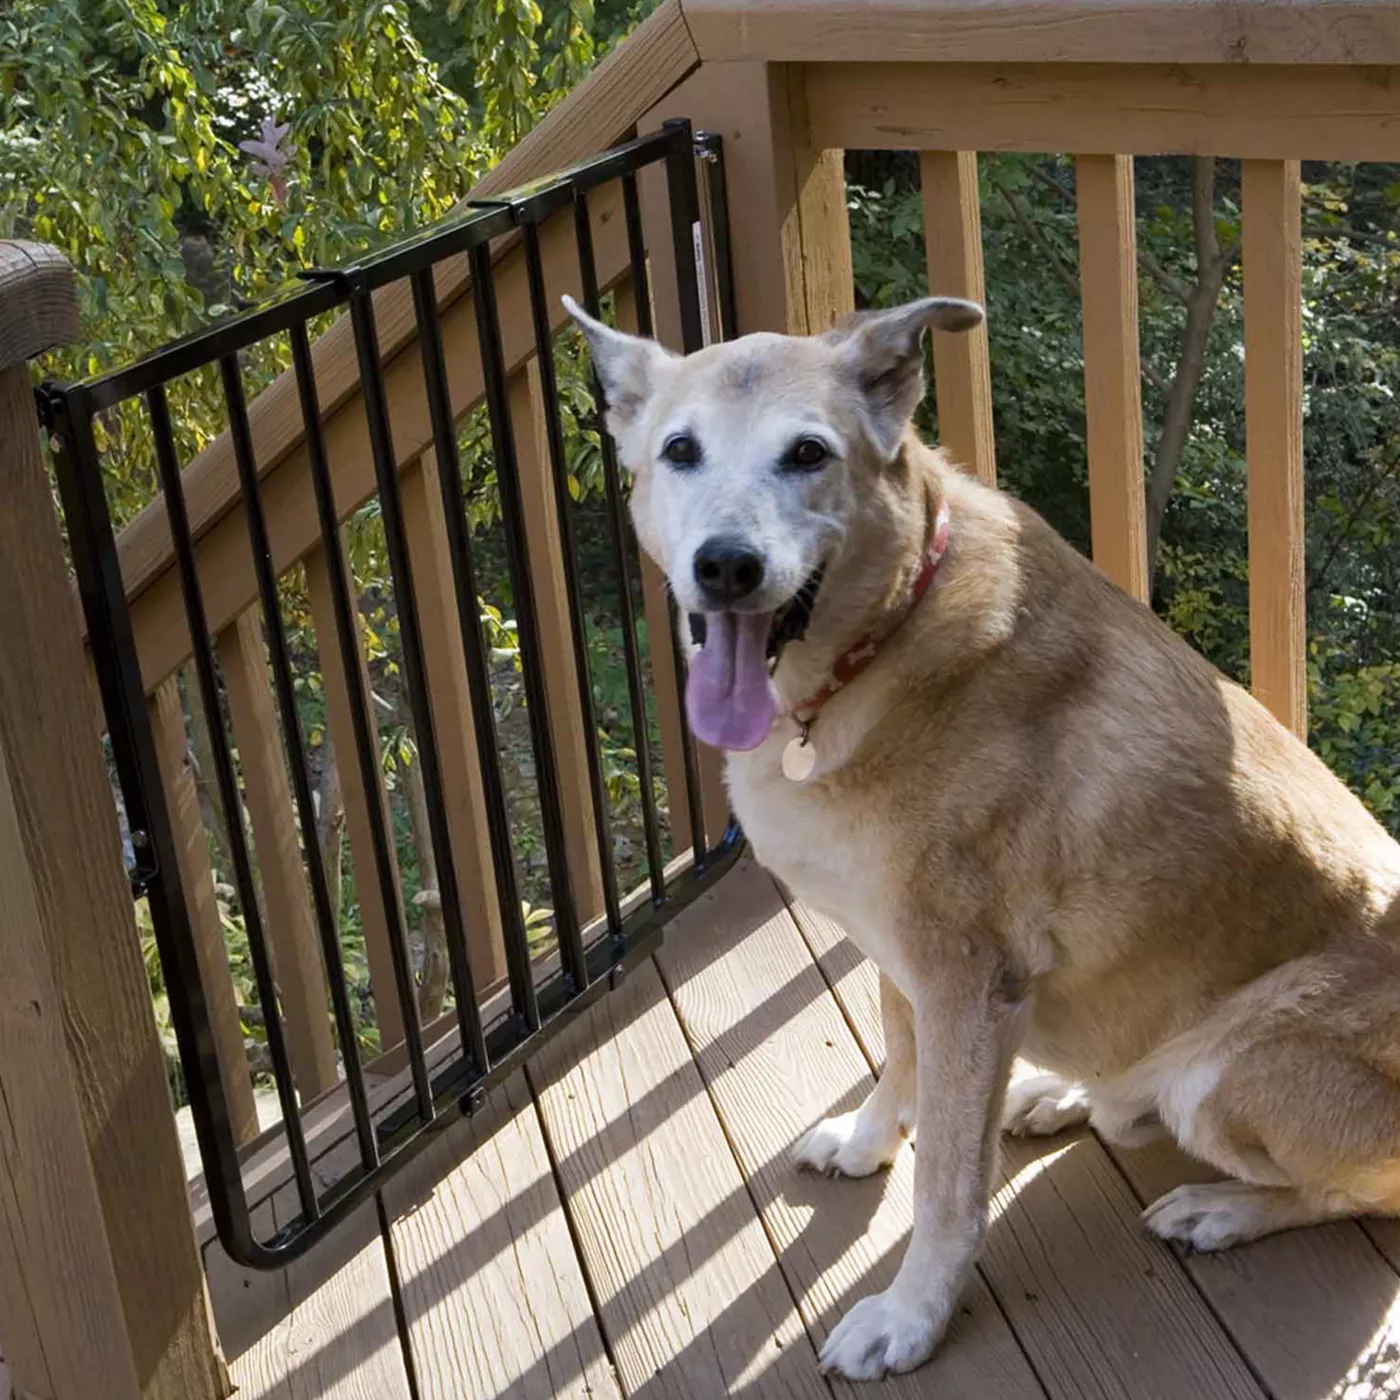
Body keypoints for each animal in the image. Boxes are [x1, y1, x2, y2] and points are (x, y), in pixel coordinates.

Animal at [560, 289, 1400, 1383]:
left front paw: (910, 1316)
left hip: (1223, 1071)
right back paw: (1058, 1092)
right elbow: (898, 1062)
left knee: (1356, 1189)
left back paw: (1221, 1207)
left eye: (807, 454)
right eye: (680, 450)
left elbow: (947, 1186)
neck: (877, 645)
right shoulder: (903, 957)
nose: (726, 567)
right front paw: (867, 1143)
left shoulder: (965, 977)